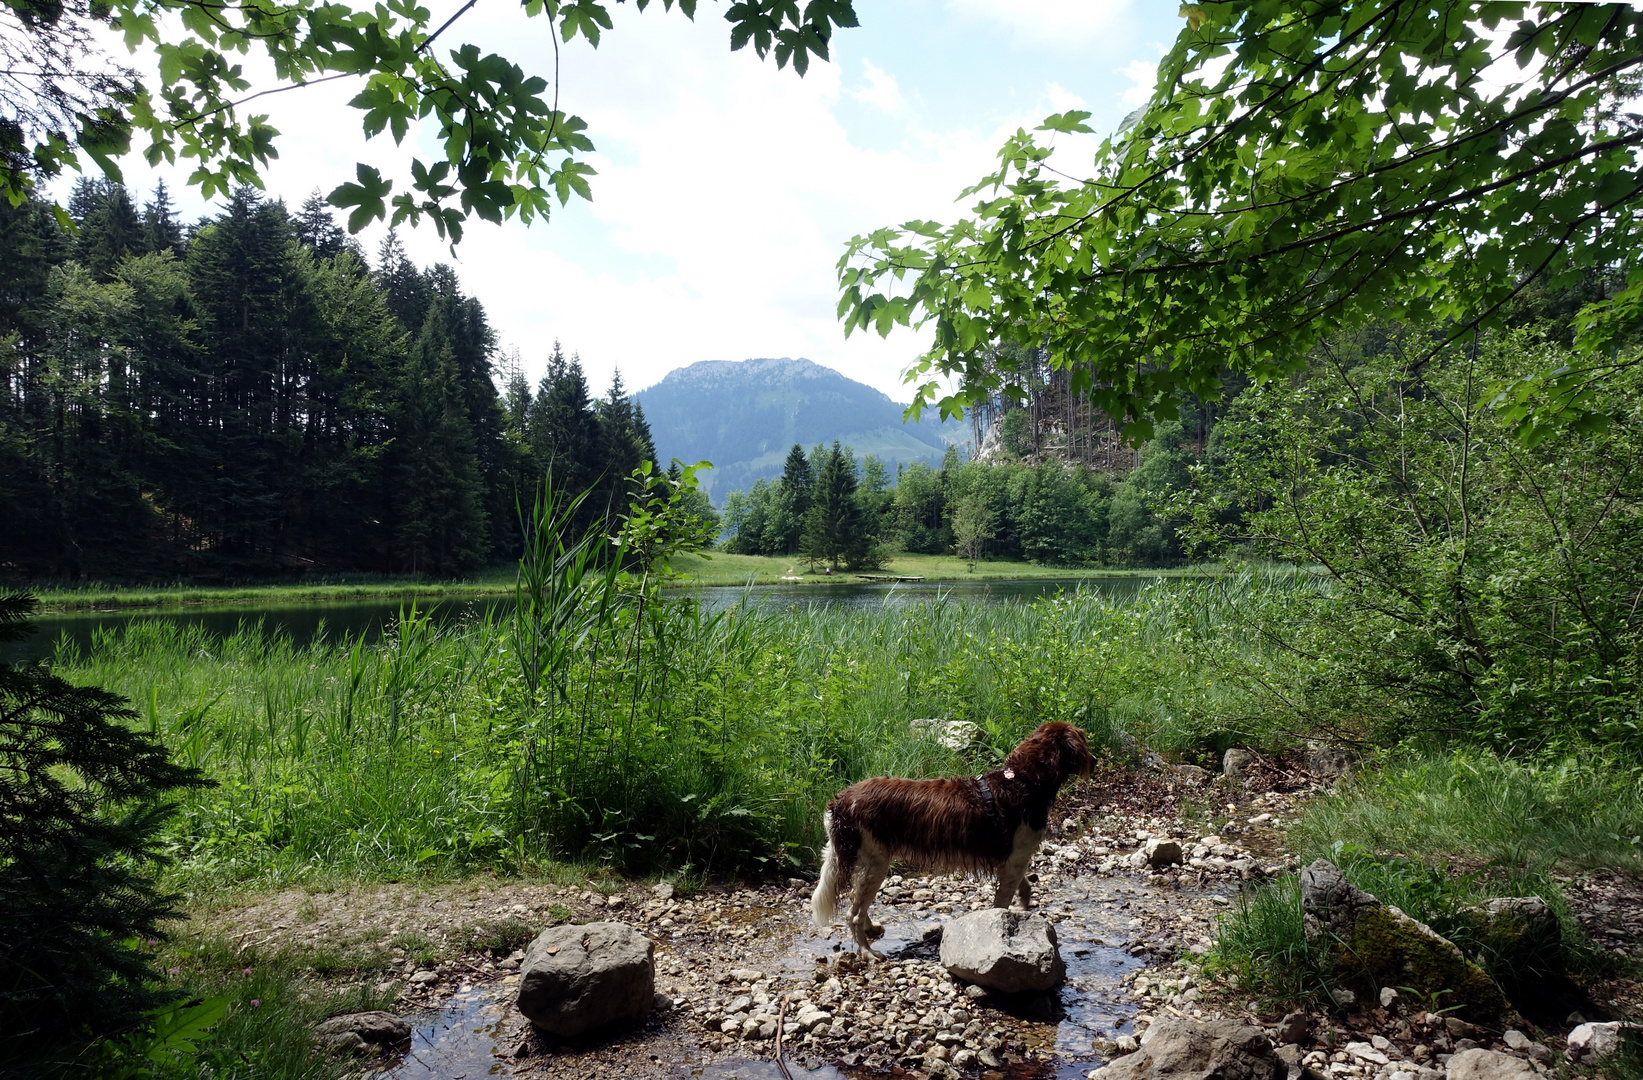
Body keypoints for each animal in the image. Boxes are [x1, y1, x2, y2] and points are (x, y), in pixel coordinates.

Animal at [805, 720, 1090, 953]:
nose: (1095, 761)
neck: (1023, 781)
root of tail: (842, 800)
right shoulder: (1014, 859)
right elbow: (1002, 902)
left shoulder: (1010, 859)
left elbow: (1024, 886)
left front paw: (1023, 905)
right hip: (876, 862)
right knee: (853, 913)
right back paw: (868, 953)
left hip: (867, 862)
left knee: (858, 905)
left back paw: (871, 929)